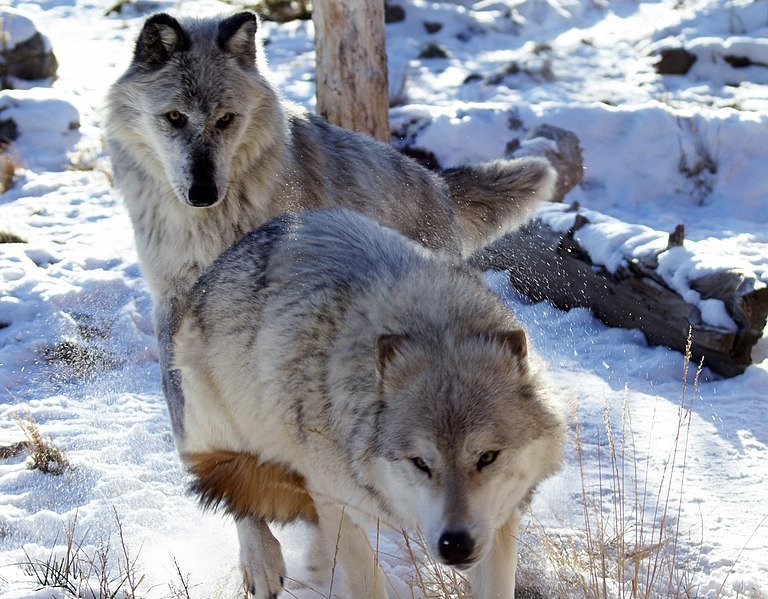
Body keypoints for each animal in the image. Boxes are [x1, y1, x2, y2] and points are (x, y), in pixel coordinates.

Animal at [177, 210, 568, 599]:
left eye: (487, 457)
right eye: (420, 462)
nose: (455, 545)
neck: (433, 327)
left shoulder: (499, 519)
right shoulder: (337, 501)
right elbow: (363, 577)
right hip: (229, 430)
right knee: (236, 493)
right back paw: (262, 563)